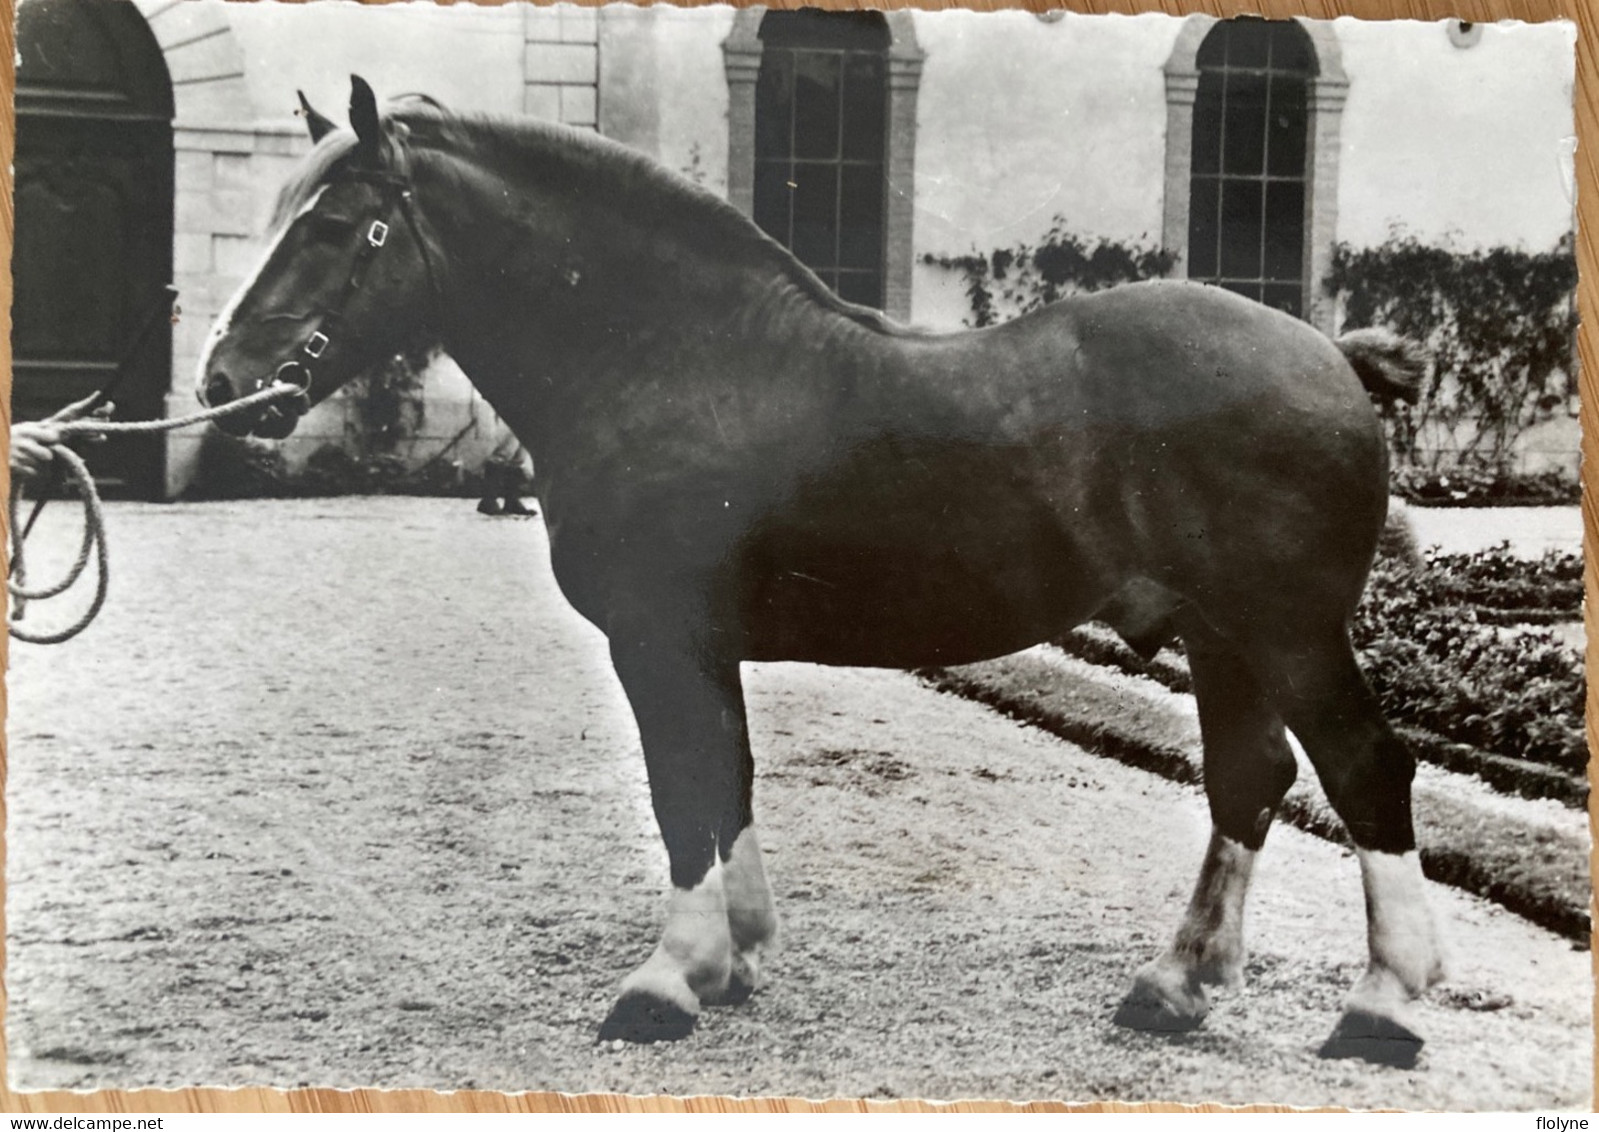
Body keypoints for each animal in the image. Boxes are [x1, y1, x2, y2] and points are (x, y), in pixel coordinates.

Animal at [196, 79, 1439, 1061]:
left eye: (340, 225)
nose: (222, 382)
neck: (671, 356)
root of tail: (1334, 354)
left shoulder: (658, 637)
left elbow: (684, 790)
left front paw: (665, 982)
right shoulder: (701, 646)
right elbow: (726, 781)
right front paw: (731, 962)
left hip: (1287, 630)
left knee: (1365, 770)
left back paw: (1383, 1007)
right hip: (1223, 635)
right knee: (1250, 778)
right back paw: (1176, 985)